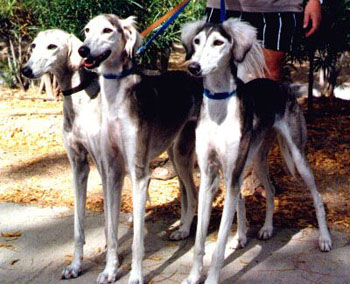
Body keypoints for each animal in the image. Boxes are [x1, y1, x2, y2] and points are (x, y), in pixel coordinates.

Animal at [21, 30, 102, 278]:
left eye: (52, 46)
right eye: (33, 45)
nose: (25, 70)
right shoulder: (78, 166)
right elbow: (78, 225)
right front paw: (75, 266)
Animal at [77, 14, 202, 282]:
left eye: (107, 30)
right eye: (87, 30)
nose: (83, 50)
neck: (116, 101)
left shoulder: (139, 175)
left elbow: (136, 241)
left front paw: (135, 275)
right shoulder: (112, 172)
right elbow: (112, 231)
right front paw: (110, 270)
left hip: (187, 153)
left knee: (197, 192)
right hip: (176, 152)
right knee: (188, 193)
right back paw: (183, 229)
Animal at [182, 18, 332, 284]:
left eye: (218, 42)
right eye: (197, 42)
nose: (193, 67)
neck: (219, 104)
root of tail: (281, 85)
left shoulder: (231, 174)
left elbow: (219, 244)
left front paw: (212, 277)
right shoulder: (210, 175)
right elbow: (199, 240)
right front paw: (193, 276)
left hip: (297, 157)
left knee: (316, 196)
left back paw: (324, 238)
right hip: (257, 159)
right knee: (270, 191)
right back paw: (264, 229)